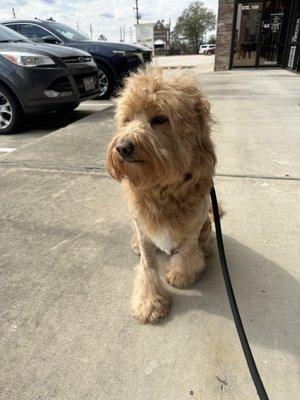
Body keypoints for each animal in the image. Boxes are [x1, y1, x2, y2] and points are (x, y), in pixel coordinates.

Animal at [106, 67, 214, 324]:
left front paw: (182, 275)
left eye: (160, 119)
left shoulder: (193, 227)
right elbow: (147, 267)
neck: (161, 188)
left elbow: (187, 253)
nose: (122, 147)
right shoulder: (142, 227)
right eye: (126, 120)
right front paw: (149, 301)